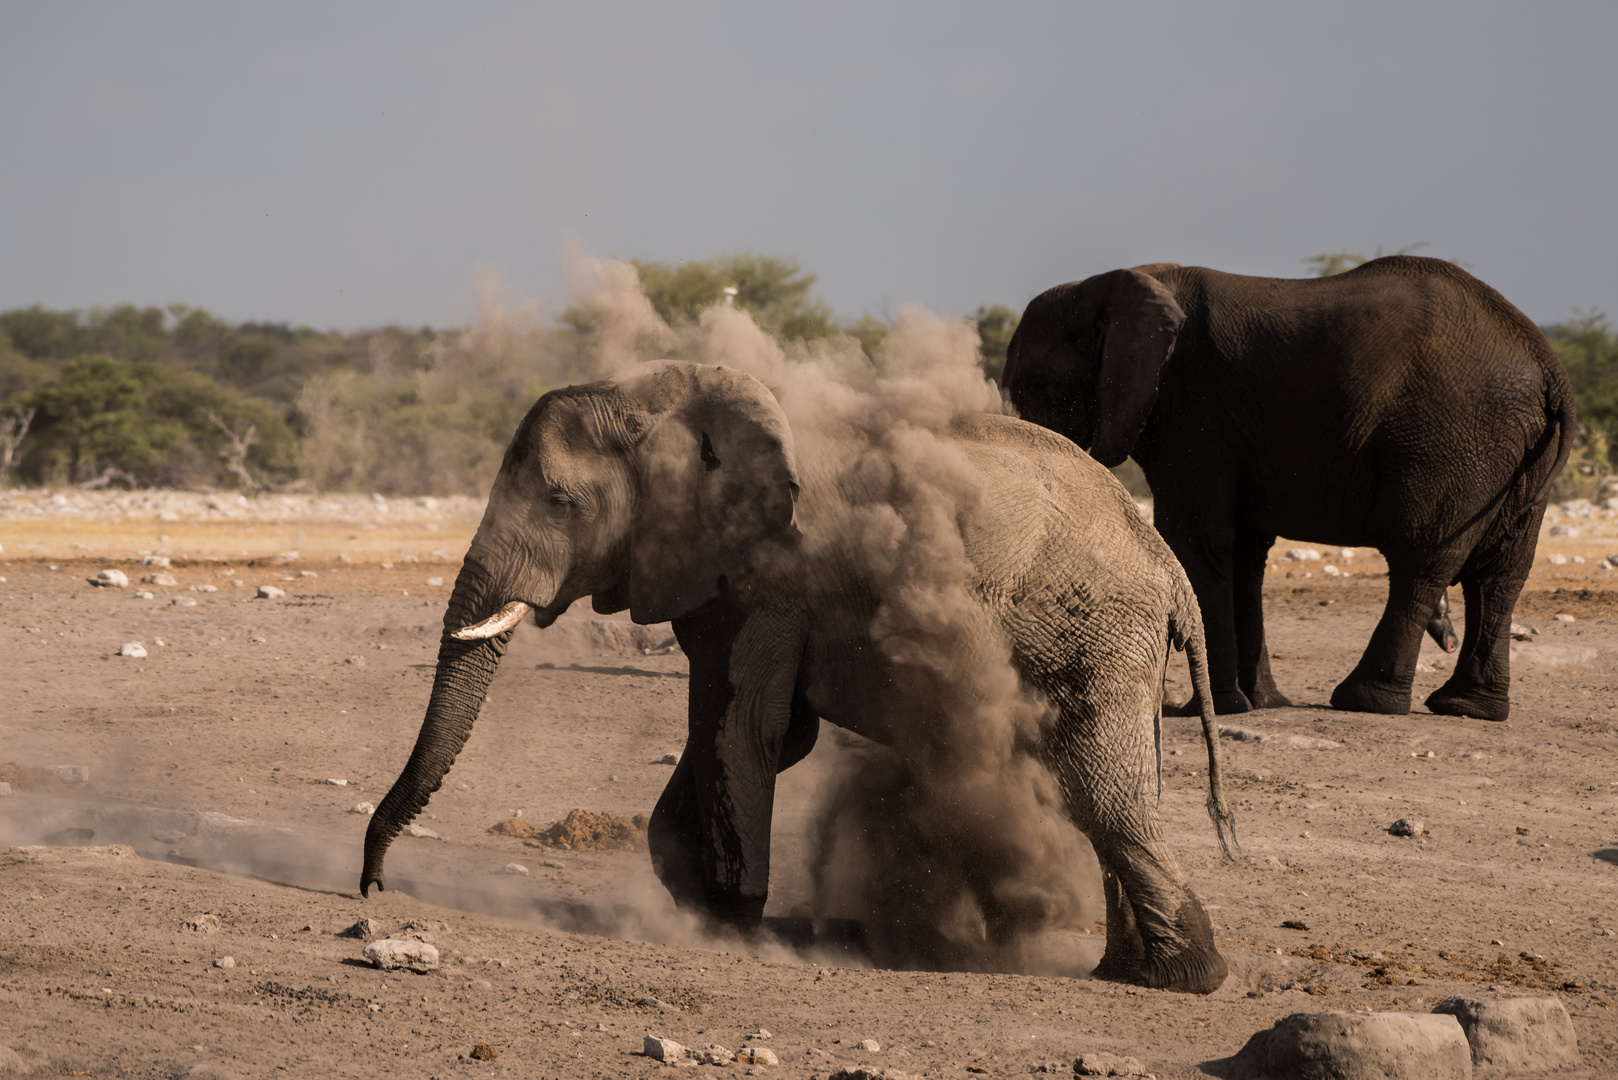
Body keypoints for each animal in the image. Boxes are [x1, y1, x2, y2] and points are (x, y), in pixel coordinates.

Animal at [360, 361, 1229, 997]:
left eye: (560, 501)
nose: (372, 890)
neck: (661, 396)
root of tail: (1169, 568)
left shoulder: (776, 578)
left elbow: (747, 727)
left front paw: (734, 924)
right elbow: (740, 733)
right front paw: (699, 899)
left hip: (1097, 633)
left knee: (1104, 797)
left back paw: (1185, 980)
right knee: (1121, 789)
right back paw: (1130, 971)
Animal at [1003, 257, 1572, 722]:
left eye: (1036, 385)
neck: (1111, 285)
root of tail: (1550, 369)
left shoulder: (1192, 409)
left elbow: (1196, 537)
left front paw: (1214, 709)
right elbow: (1245, 551)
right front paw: (1260, 704)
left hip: (1453, 441)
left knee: (1422, 560)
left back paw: (1365, 701)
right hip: (1509, 453)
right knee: (1502, 574)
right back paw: (1468, 709)